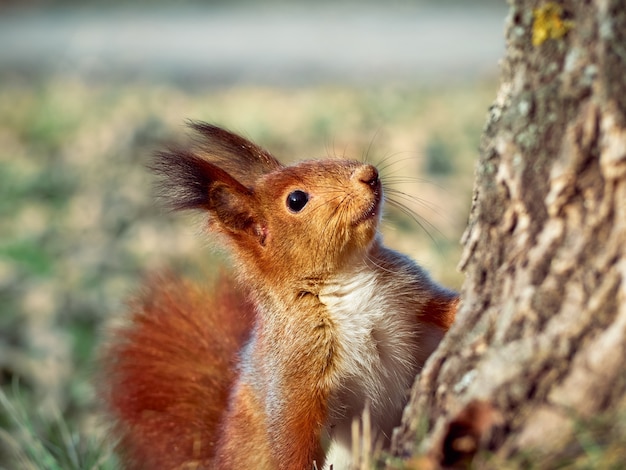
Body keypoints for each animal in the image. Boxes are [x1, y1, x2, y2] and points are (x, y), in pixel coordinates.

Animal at [100, 123, 456, 468]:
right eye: (296, 200)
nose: (369, 173)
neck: (346, 277)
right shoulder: (294, 374)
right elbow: (293, 442)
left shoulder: (410, 289)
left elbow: (440, 305)